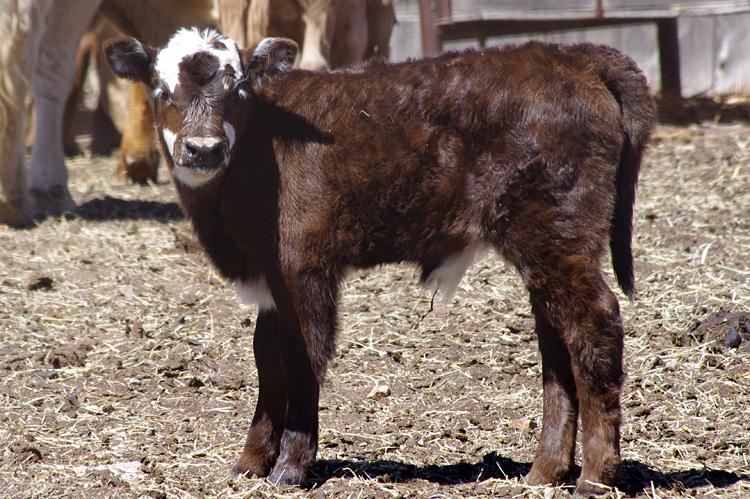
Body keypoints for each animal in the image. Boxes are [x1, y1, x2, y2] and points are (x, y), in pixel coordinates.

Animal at [103, 30, 656, 496]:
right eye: (161, 89)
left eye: (236, 89)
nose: (204, 148)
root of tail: (571, 54)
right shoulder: (270, 278)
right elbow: (268, 359)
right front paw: (252, 461)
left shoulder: (305, 268)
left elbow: (303, 358)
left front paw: (291, 467)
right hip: (543, 247)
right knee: (556, 341)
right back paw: (545, 472)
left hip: (557, 235)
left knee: (593, 323)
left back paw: (595, 476)